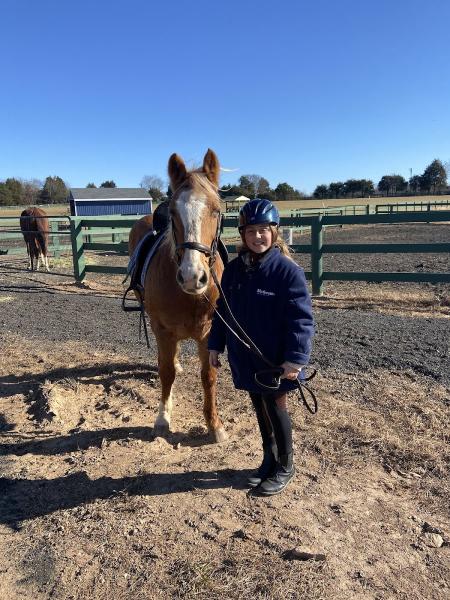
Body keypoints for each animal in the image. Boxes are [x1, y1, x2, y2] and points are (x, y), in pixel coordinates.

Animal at [129, 149, 229, 440]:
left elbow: (208, 375)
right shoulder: (163, 329)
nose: (192, 276)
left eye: (216, 210)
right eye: (173, 212)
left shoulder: (209, 332)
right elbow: (166, 372)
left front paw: (214, 424)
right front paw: (163, 418)